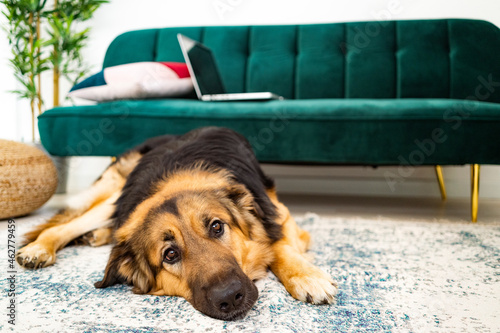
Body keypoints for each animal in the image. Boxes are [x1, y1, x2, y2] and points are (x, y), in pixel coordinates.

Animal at [15, 126, 338, 320]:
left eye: (217, 227)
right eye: (170, 254)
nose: (230, 298)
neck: (179, 176)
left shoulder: (279, 213)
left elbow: (278, 243)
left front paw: (307, 276)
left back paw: (96, 236)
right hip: (116, 200)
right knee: (66, 226)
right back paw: (40, 248)